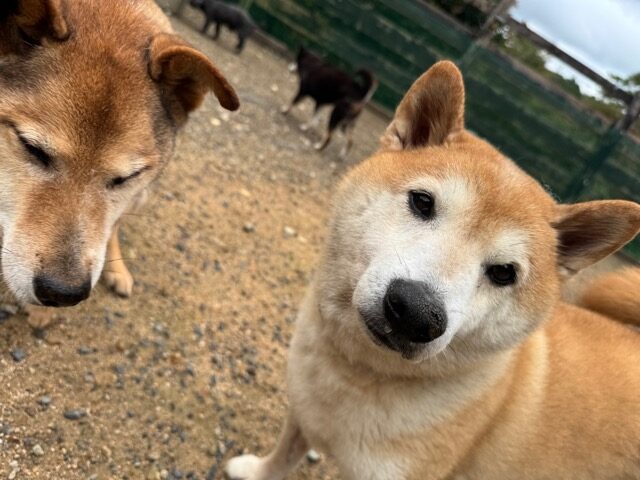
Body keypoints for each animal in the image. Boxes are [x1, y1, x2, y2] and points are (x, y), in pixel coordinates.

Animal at [226, 61, 640, 479]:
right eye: (423, 202)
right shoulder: (306, 408)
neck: (355, 371)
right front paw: (256, 471)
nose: (415, 313)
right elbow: (284, 453)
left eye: (504, 273)